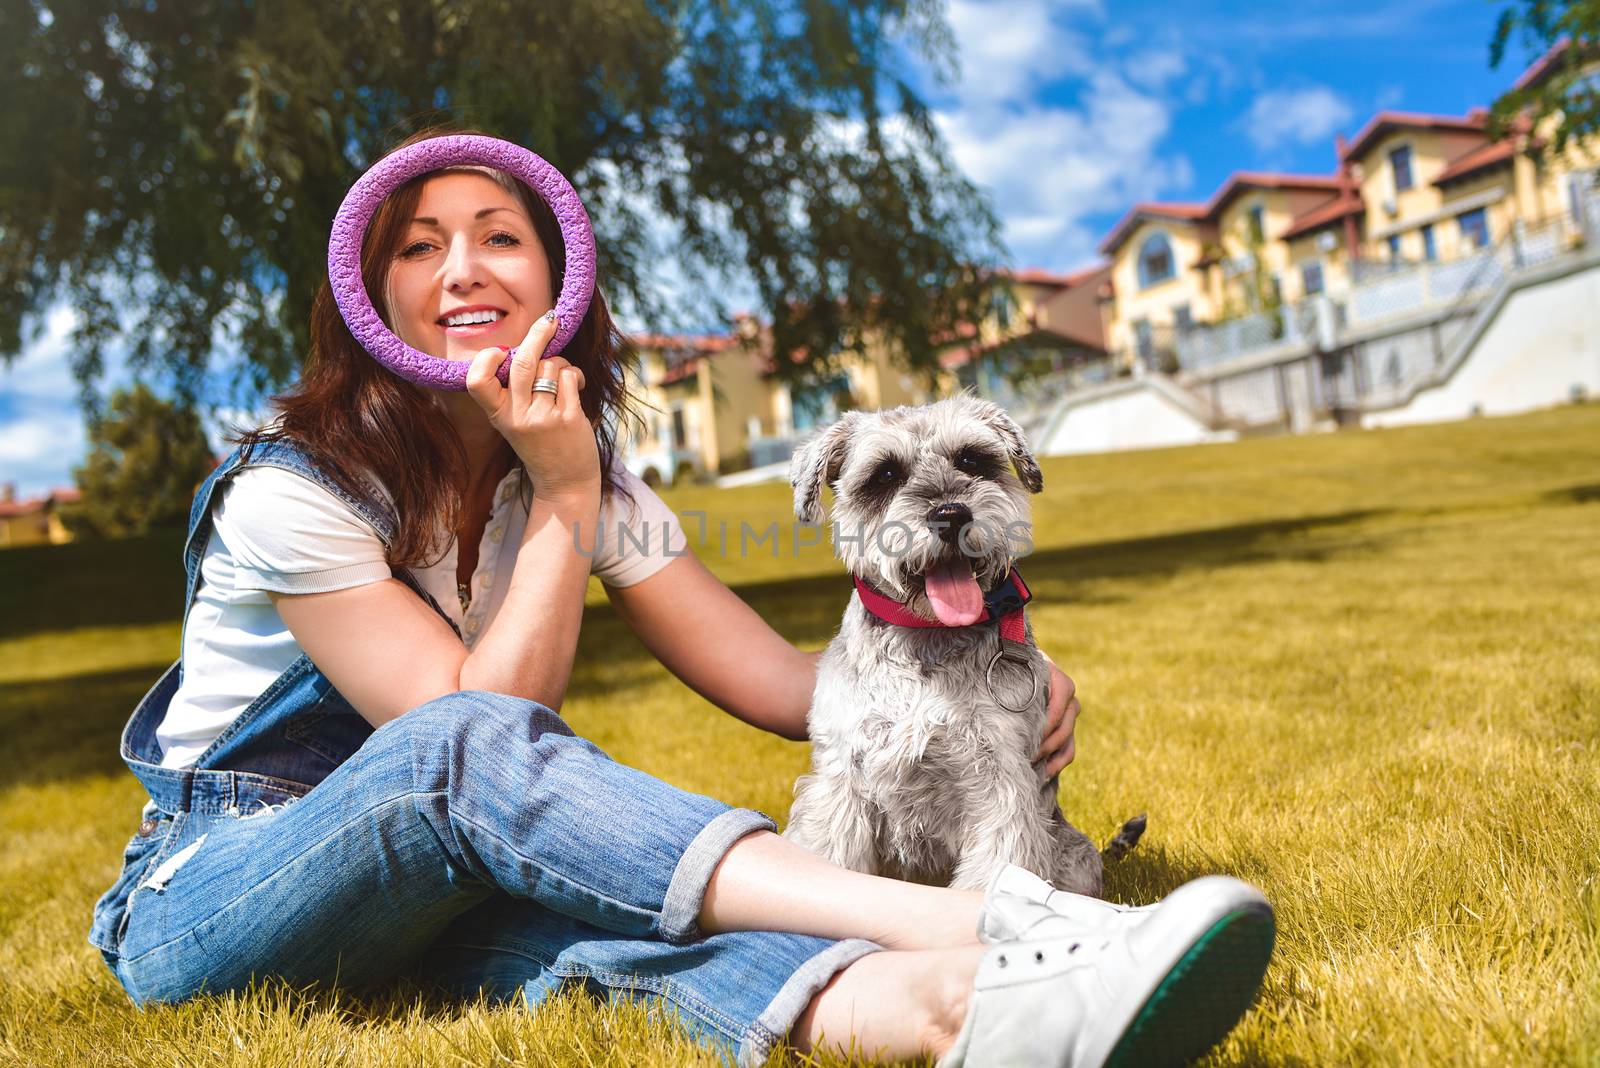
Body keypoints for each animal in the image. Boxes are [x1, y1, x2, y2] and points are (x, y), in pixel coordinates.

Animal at [777, 391, 1139, 895]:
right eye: (884, 474)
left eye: (970, 459)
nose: (950, 515)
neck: (925, 644)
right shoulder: (840, 782)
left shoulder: (999, 780)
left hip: (1077, 858)